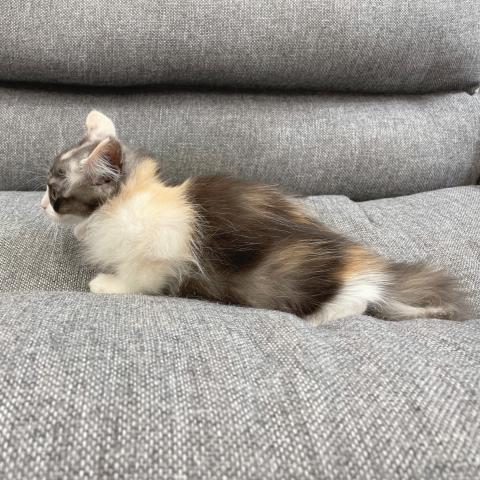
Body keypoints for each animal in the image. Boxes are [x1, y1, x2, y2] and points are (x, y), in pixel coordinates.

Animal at [41, 110, 465, 323]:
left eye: (54, 193)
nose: (41, 206)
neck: (127, 200)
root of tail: (369, 267)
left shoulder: (160, 254)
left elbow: (138, 277)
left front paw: (107, 284)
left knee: (356, 303)